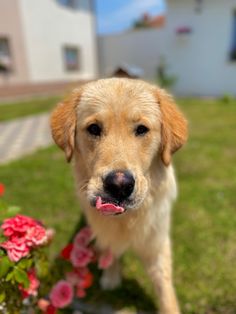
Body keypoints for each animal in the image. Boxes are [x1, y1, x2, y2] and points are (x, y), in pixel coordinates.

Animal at [50, 78, 187, 314]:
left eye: (141, 129)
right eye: (94, 128)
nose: (119, 185)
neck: (126, 220)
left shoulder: (156, 242)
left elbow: (164, 287)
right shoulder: (105, 231)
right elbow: (110, 250)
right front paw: (111, 277)